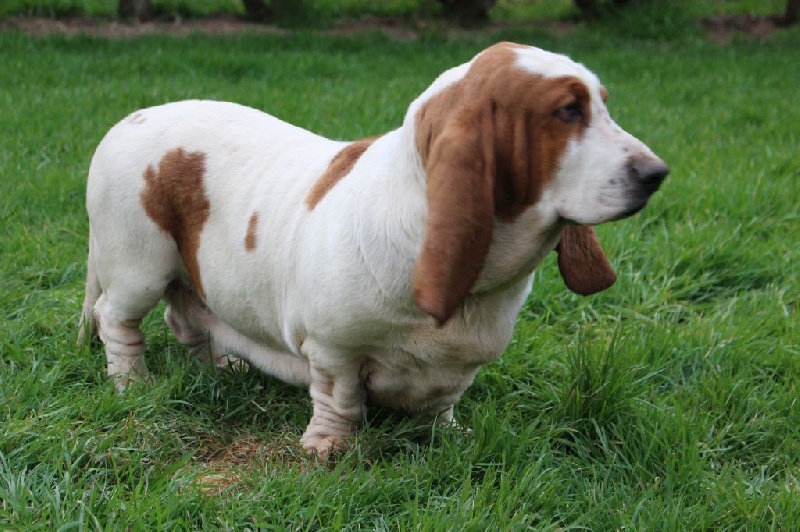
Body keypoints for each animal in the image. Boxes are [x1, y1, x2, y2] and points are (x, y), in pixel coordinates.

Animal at [79, 42, 668, 455]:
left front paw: (448, 437)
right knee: (116, 320)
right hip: (139, 268)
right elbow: (340, 400)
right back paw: (131, 384)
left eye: (603, 106)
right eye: (567, 111)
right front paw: (327, 447)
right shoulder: (332, 348)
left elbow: (444, 402)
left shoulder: (462, 366)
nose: (657, 174)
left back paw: (223, 370)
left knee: (186, 320)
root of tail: (125, 121)